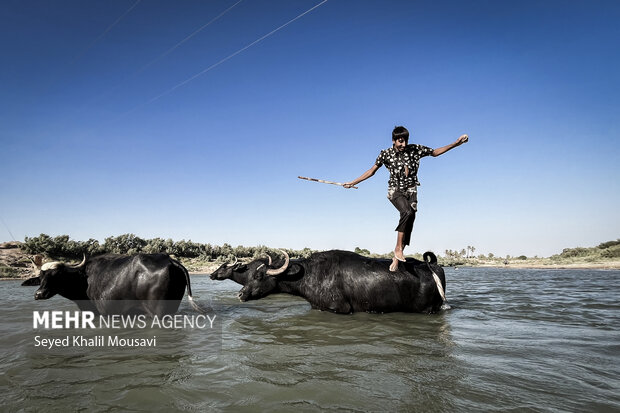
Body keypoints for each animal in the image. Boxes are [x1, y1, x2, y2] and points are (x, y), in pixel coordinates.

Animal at [21, 251, 201, 316]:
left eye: (57, 275)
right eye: (41, 276)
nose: (39, 294)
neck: (83, 279)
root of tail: (169, 260)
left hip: (159, 312)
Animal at [211, 249, 448, 314]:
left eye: (259, 276)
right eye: (250, 275)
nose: (240, 294)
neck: (310, 275)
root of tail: (431, 266)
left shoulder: (339, 309)